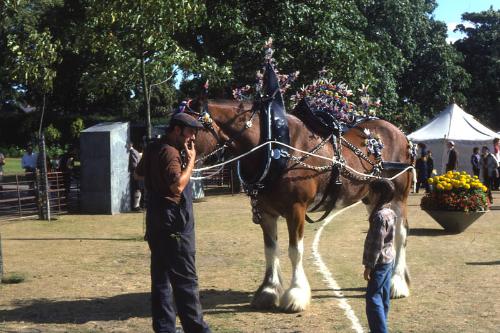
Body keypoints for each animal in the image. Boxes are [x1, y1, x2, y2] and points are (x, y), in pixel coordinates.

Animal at [189, 98, 412, 312]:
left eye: (191, 130)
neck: (275, 146)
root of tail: (401, 135)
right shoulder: (266, 212)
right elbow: (270, 250)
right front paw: (268, 291)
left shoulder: (296, 209)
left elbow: (295, 251)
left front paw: (296, 294)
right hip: (374, 197)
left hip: (399, 197)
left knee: (401, 234)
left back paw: (397, 282)